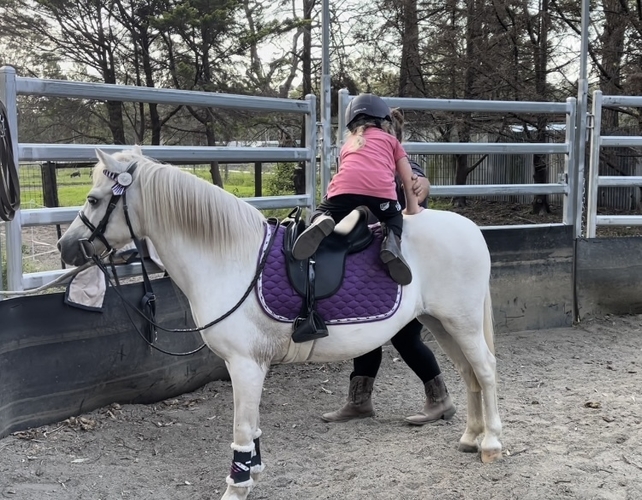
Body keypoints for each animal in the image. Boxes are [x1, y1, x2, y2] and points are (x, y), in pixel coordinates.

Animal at [57, 146, 502, 500]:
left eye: (94, 199)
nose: (65, 247)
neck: (231, 259)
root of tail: (470, 229)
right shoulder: (250, 367)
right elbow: (252, 429)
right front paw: (252, 472)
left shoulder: (245, 366)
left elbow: (241, 429)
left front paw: (236, 488)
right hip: (441, 323)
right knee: (468, 375)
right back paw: (470, 437)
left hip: (461, 323)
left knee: (485, 371)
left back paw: (492, 443)